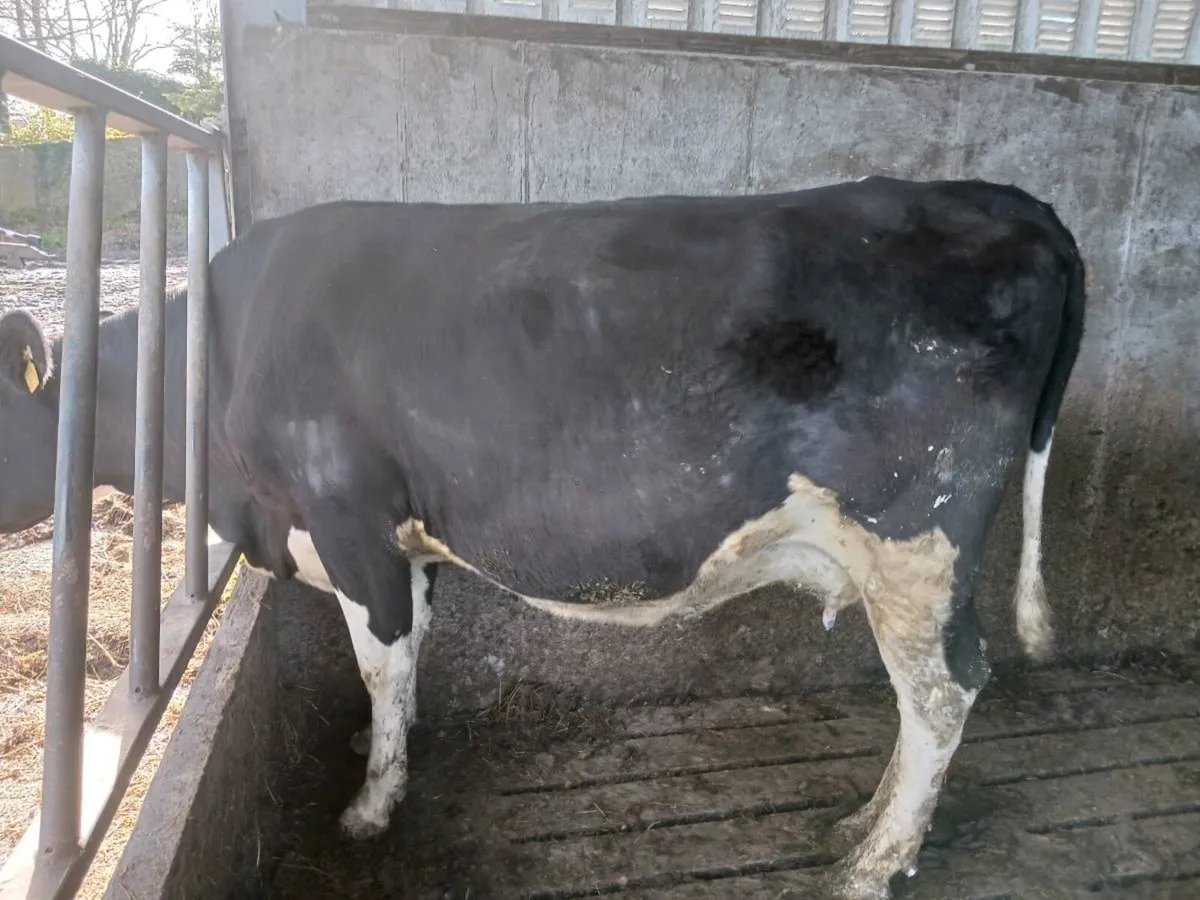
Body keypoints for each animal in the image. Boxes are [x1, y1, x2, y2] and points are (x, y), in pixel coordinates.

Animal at [0, 176, 1085, 899]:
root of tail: (1011, 201)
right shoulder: (407, 536)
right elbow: (411, 653)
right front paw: (382, 753)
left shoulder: (348, 519)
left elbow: (381, 661)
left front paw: (369, 806)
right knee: (926, 702)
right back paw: (859, 823)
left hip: (916, 539)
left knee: (944, 694)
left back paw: (874, 862)